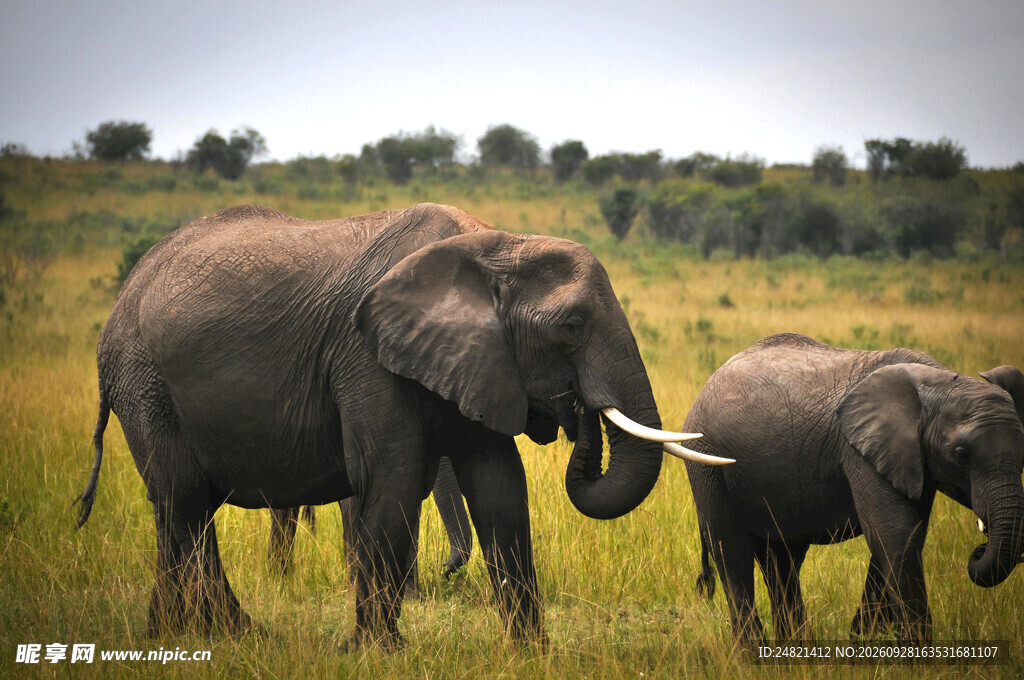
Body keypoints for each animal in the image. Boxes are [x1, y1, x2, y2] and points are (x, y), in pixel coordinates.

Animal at [683, 333, 1024, 645]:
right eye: (961, 455)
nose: (979, 548)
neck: (939, 380)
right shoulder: (859, 451)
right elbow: (894, 533)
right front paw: (916, 655)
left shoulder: (911, 460)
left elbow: (906, 534)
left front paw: (864, 643)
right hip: (708, 462)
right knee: (731, 553)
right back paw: (752, 656)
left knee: (782, 560)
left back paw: (794, 653)